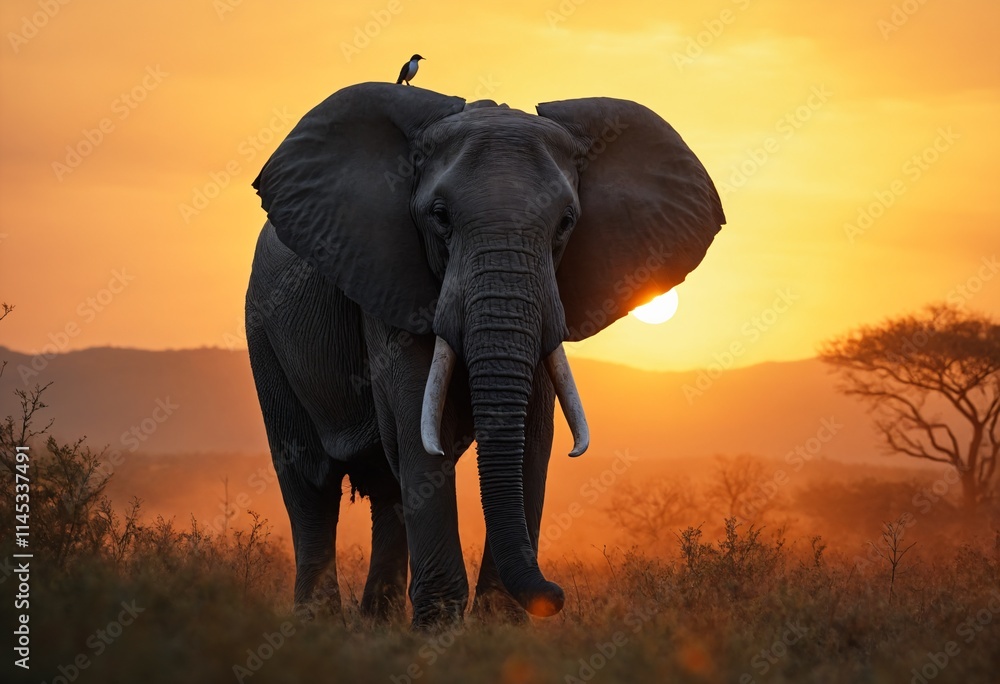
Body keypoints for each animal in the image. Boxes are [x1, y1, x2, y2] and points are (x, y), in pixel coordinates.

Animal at [245, 82, 724, 627]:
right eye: (439, 217)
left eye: (566, 222)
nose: (556, 595)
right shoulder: (389, 278)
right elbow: (416, 423)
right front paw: (439, 631)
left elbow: (533, 432)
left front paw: (498, 627)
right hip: (263, 330)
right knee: (311, 481)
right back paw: (319, 626)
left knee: (387, 487)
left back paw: (377, 625)